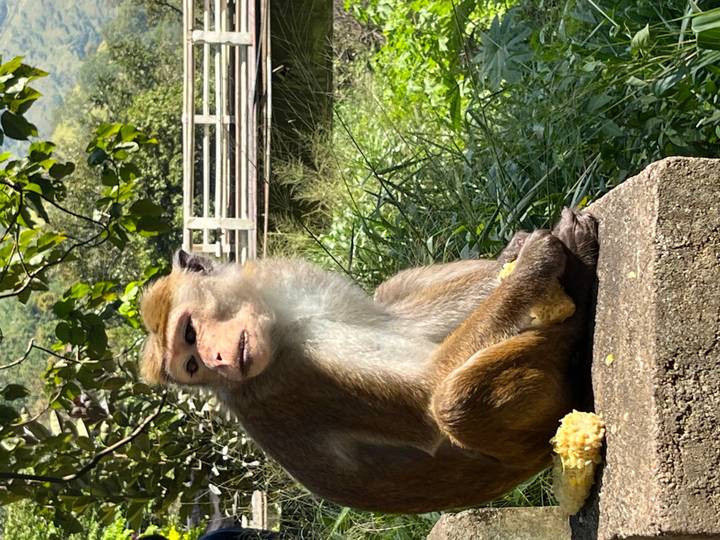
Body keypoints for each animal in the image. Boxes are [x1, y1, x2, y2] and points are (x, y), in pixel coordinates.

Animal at [140, 208, 598, 513]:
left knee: (391, 291)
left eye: (190, 335)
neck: (279, 324)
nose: (216, 359)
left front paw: (512, 258)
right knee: (453, 401)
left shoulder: (298, 286)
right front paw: (532, 266)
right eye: (193, 365)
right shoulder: (297, 373)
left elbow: (398, 323)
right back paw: (576, 308)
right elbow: (427, 390)